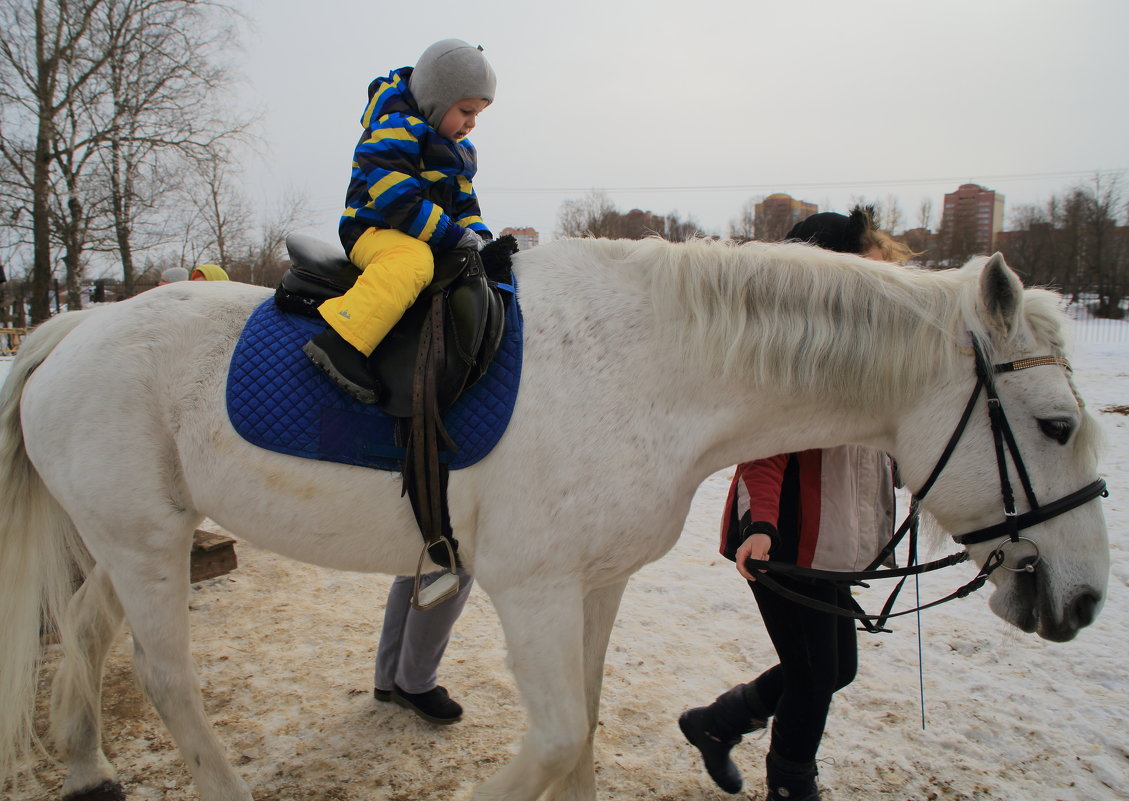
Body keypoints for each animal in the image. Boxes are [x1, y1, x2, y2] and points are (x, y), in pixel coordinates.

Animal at [0, 237, 1110, 799]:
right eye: (1055, 425)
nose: (1085, 600)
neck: (653, 368)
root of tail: (72, 330)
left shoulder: (597, 585)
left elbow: (583, 731)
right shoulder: (530, 590)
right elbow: (556, 736)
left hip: (133, 540)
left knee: (89, 635)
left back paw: (89, 767)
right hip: (145, 547)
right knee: (164, 678)